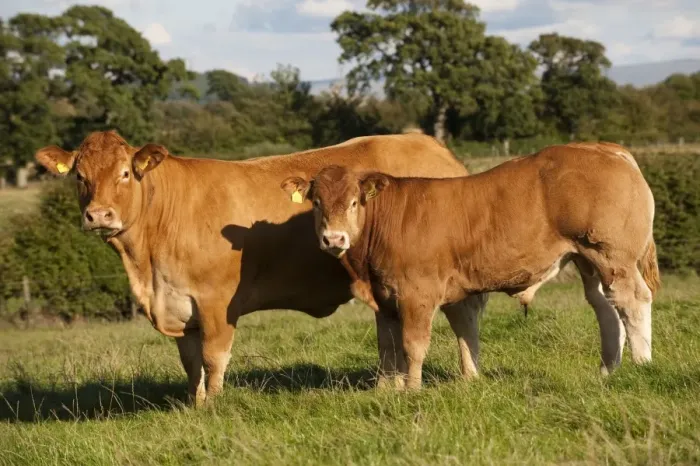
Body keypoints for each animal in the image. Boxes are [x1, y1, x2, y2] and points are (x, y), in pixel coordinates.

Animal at [34, 130, 488, 405]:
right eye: (79, 176)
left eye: (126, 172)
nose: (99, 215)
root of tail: (426, 142)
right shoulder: (180, 305)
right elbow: (191, 363)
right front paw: (195, 405)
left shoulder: (216, 302)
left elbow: (214, 358)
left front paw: (214, 406)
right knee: (390, 336)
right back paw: (384, 388)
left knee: (462, 319)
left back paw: (469, 377)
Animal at [281, 142, 660, 389]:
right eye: (317, 202)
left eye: (355, 202)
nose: (334, 239)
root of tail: (605, 148)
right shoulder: (385, 297)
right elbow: (389, 347)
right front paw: (390, 391)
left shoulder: (417, 294)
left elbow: (413, 345)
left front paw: (413, 392)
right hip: (588, 259)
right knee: (606, 307)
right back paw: (608, 371)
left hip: (612, 254)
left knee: (632, 300)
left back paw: (642, 364)